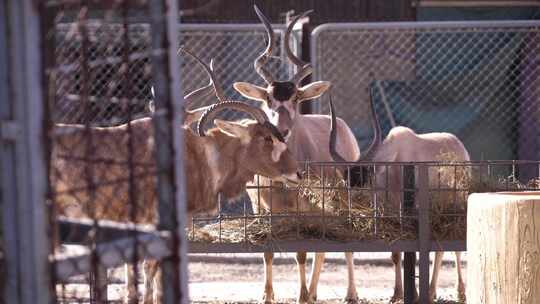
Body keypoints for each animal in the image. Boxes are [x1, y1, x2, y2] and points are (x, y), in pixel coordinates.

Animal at [232, 5, 376, 304]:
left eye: (296, 98)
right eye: (268, 99)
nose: (282, 130)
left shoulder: (305, 208)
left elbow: (301, 251)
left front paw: (301, 295)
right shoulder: (262, 209)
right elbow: (268, 251)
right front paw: (268, 296)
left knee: (338, 244)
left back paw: (348, 293)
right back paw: (314, 291)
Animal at [330, 89, 468, 302]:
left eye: (365, 179)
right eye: (348, 182)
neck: (393, 164)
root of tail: (459, 145)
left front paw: (414, 294)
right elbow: (395, 255)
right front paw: (397, 294)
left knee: (453, 248)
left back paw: (459, 292)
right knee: (440, 250)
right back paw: (432, 292)